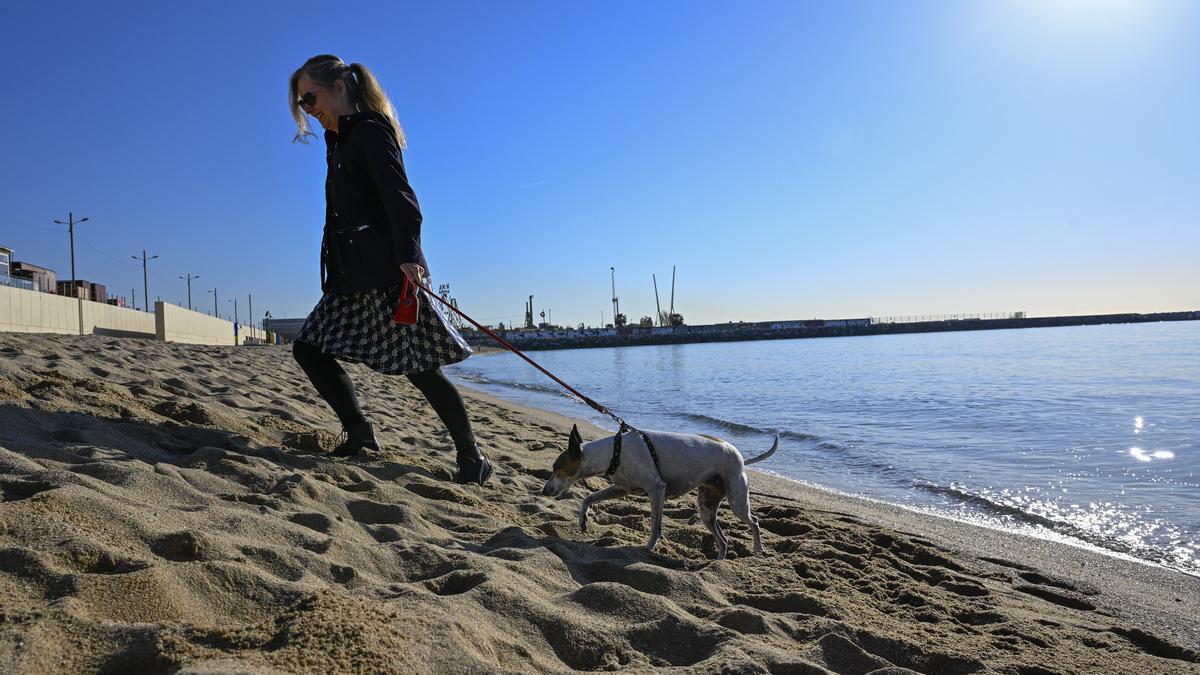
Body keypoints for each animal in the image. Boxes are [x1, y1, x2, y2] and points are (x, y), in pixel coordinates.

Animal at [542, 425, 782, 557]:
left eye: (556, 468)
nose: (544, 490)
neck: (614, 451)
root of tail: (740, 457)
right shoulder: (622, 489)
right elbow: (588, 497)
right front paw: (583, 520)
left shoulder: (657, 490)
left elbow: (655, 527)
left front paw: (649, 548)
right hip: (707, 508)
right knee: (723, 540)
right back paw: (718, 563)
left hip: (737, 499)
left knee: (755, 522)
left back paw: (758, 549)